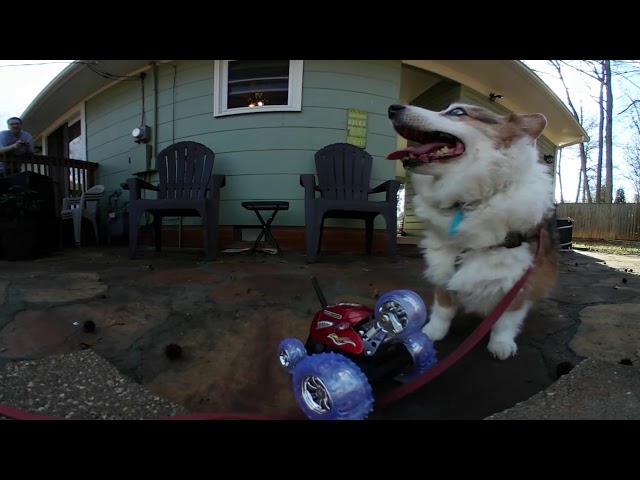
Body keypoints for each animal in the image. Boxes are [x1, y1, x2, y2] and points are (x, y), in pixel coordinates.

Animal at [388, 103, 556, 358]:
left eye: (457, 112)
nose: (393, 108)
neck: (469, 201)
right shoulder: (444, 264)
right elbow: (443, 307)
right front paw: (432, 332)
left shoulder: (519, 280)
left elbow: (506, 319)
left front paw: (501, 344)